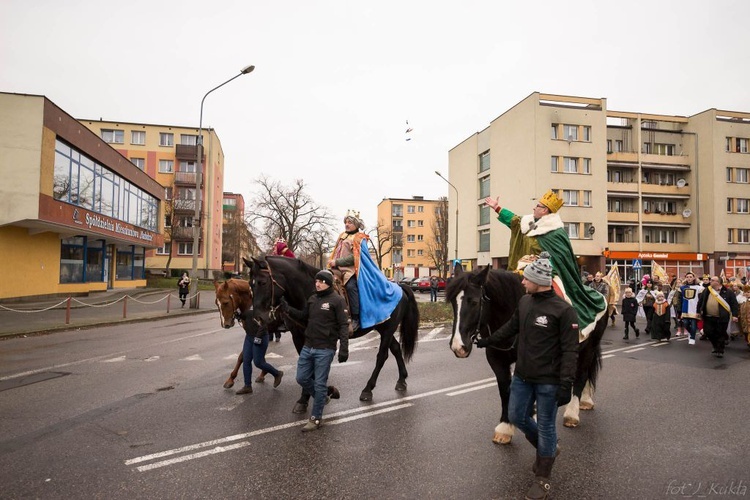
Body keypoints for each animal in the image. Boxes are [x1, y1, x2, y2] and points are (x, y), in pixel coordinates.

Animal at [247, 256, 424, 408]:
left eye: (262, 282)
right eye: (250, 283)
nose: (258, 318)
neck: (312, 292)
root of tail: (399, 286)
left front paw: (325, 392)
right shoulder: (299, 337)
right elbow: (306, 368)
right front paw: (305, 398)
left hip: (388, 330)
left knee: (382, 356)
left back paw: (367, 389)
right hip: (382, 328)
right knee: (395, 349)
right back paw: (401, 380)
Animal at [450, 264, 608, 444]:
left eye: (474, 302)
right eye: (452, 303)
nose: (458, 347)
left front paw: (533, 420)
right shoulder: (497, 361)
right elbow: (505, 390)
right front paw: (505, 427)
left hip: (589, 347)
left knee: (582, 374)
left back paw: (572, 413)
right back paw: (586, 400)